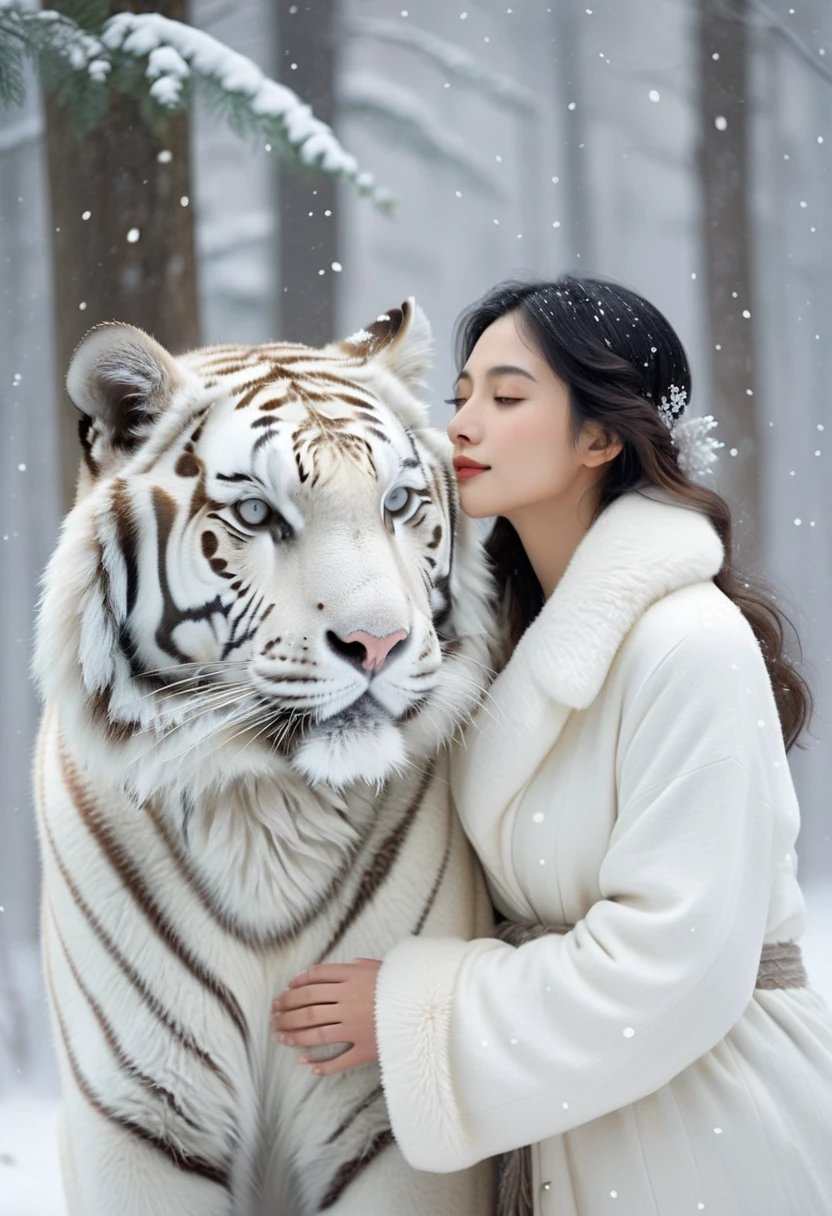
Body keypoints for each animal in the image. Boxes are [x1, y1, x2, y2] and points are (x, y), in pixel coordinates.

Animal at [32, 296, 496, 1216]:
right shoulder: (141, 1119)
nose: (379, 642)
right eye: (255, 517)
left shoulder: (382, 1113)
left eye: (398, 502)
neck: (266, 806)